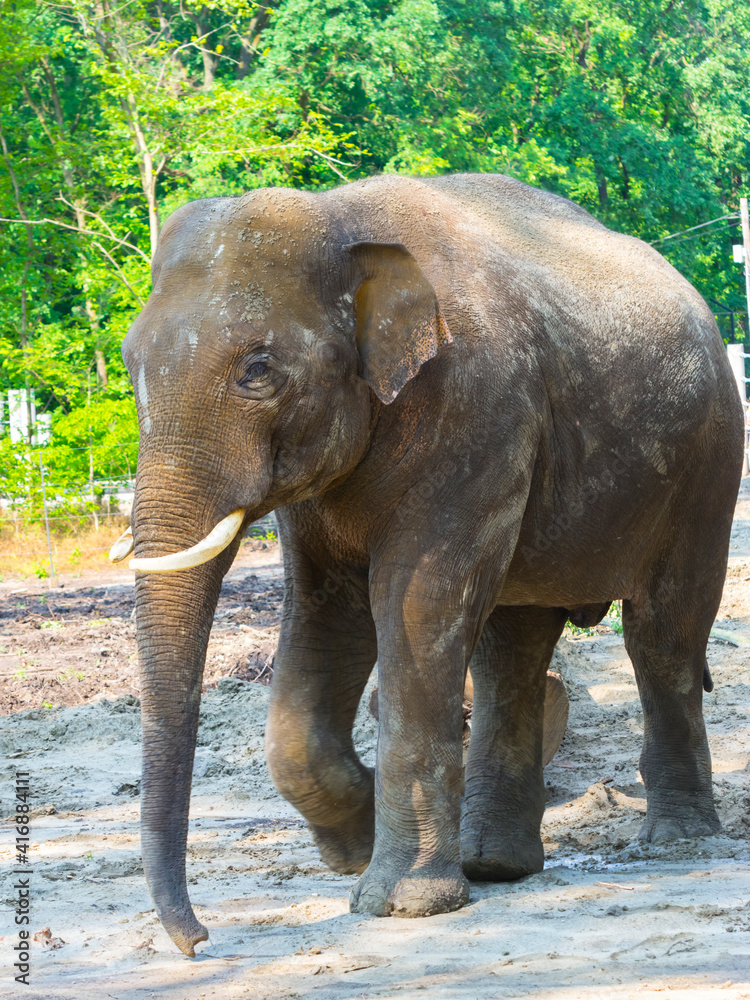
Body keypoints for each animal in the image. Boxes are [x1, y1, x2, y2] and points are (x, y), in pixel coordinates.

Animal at [112, 172, 743, 956]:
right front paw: (355, 844)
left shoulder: (474, 411)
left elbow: (416, 600)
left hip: (708, 464)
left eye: (258, 371)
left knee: (662, 634)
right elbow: (327, 608)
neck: (341, 217)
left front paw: (398, 901)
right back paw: (494, 864)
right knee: (513, 649)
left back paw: (677, 843)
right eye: (130, 363)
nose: (197, 940)